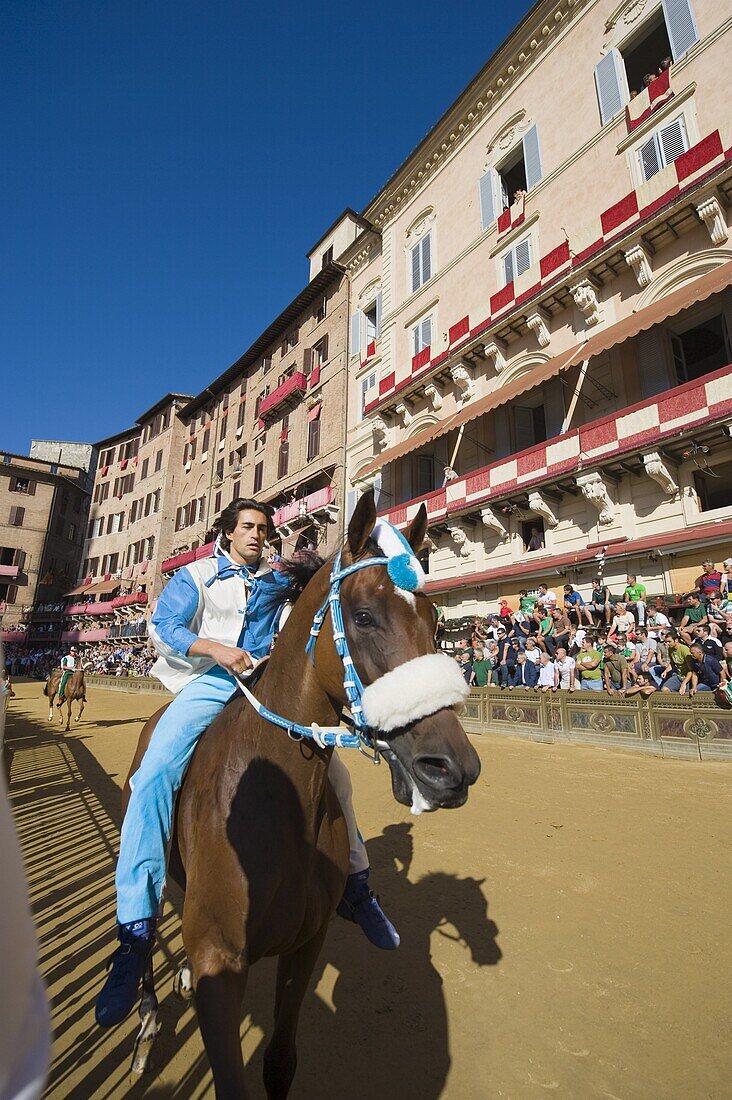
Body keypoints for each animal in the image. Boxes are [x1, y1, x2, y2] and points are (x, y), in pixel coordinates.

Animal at [123, 495, 482, 1095]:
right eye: (363, 616)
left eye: (435, 620)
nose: (453, 768)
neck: (273, 804)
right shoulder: (220, 962)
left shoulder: (303, 945)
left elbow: (281, 1062)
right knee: (143, 922)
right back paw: (144, 1019)